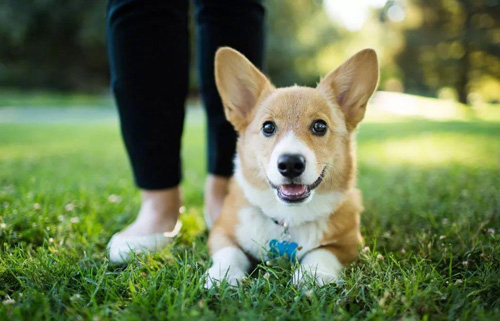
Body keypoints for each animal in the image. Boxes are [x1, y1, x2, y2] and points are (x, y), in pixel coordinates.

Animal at [205, 46, 376, 286]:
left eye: (320, 126)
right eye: (268, 127)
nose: (291, 164)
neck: (288, 217)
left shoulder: (349, 243)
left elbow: (322, 252)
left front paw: (312, 276)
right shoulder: (222, 231)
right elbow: (230, 251)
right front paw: (223, 275)